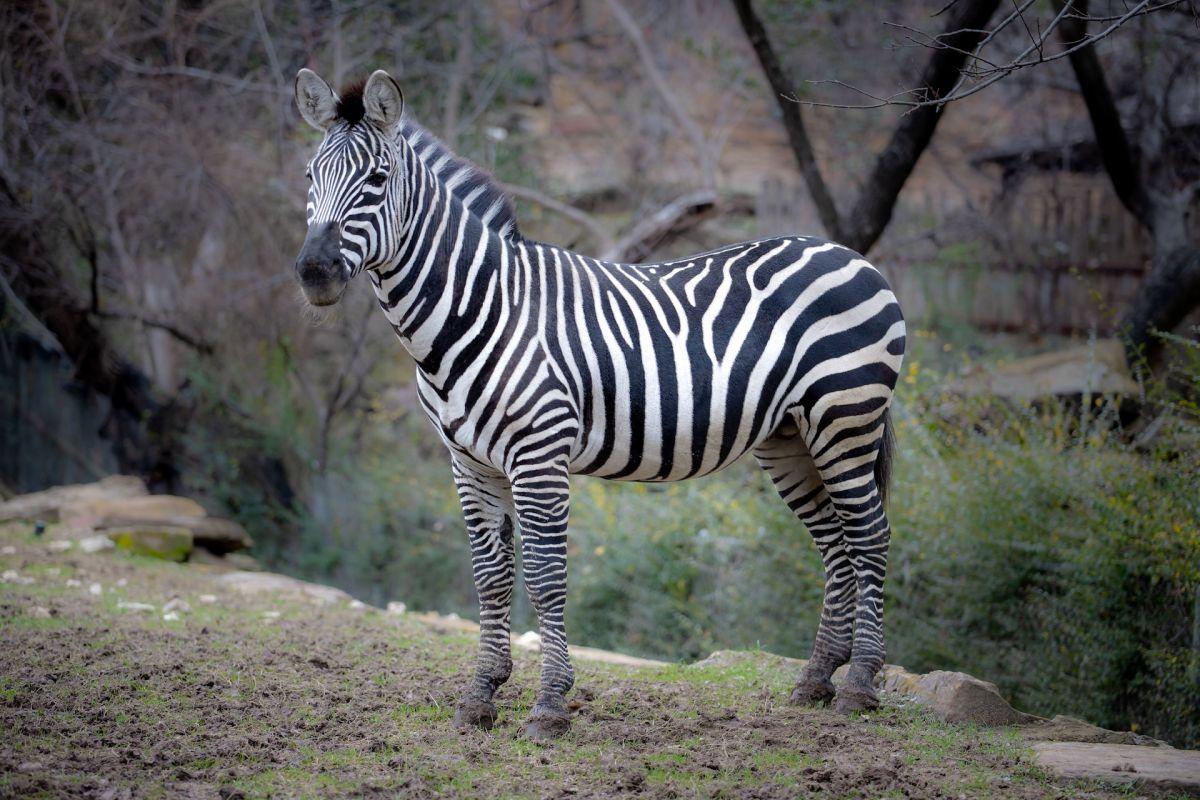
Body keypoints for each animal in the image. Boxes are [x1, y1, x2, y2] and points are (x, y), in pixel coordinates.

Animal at [295, 68, 902, 738]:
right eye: (310, 177)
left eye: (376, 180)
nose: (314, 272)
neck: (480, 308)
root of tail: (846, 253)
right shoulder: (468, 462)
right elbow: (490, 578)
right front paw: (481, 695)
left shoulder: (538, 454)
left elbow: (544, 577)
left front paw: (550, 704)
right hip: (790, 438)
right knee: (836, 544)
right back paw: (816, 679)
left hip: (845, 417)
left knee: (870, 535)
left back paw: (860, 685)